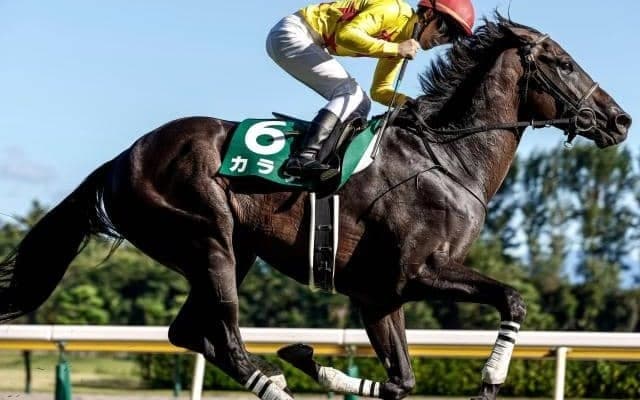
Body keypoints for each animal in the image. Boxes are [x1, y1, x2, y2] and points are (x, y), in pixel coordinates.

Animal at [0, 15, 631, 400]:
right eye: (565, 62)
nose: (621, 119)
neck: (448, 158)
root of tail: (121, 158)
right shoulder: (418, 272)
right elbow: (513, 298)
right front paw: (491, 377)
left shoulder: (378, 293)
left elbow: (401, 380)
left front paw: (314, 359)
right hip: (208, 240)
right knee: (226, 338)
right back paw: (274, 384)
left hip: (231, 252)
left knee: (190, 333)